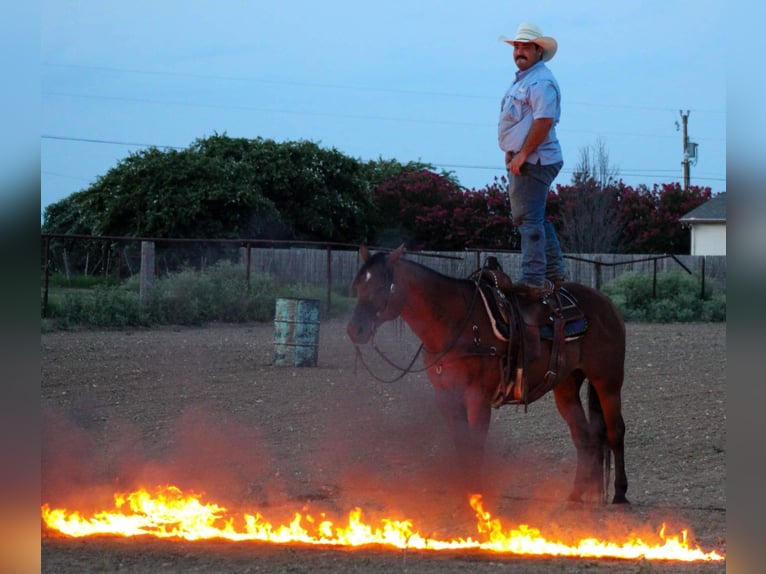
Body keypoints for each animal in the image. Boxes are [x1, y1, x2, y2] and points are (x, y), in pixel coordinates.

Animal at [348, 245, 632, 506]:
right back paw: (577, 494)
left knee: (615, 430)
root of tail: (606, 303)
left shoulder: (478, 398)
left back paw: (620, 493)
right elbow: (461, 445)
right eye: (358, 286)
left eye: (381, 286)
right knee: (582, 435)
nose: (354, 330)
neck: (456, 323)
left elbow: (475, 445)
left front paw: (477, 497)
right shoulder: (447, 398)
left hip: (608, 380)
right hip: (566, 384)